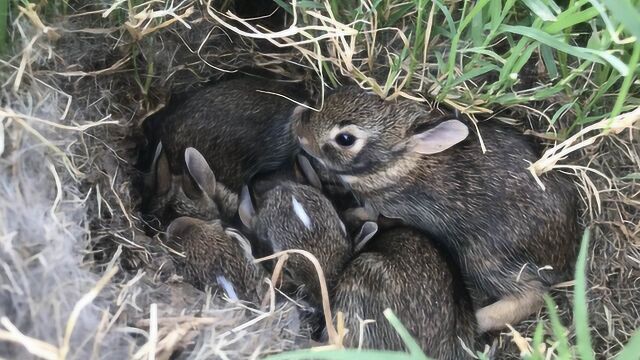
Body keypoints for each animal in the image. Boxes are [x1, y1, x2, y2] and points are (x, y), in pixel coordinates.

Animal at [296, 86, 580, 334]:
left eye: (345, 139)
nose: (301, 135)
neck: (400, 162)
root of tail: (563, 253)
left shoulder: (385, 206)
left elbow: (368, 214)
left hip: (484, 257)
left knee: (532, 295)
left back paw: (480, 320)